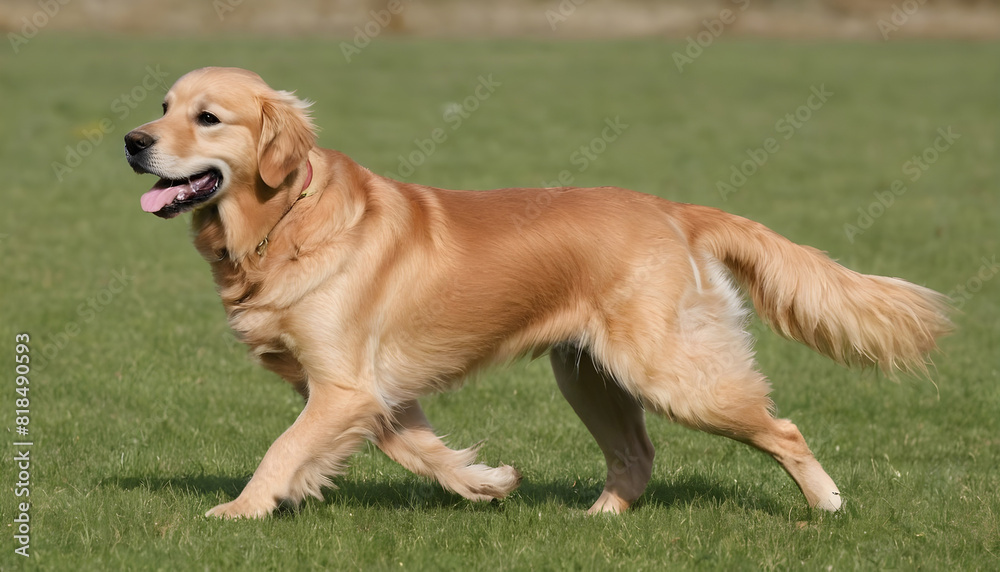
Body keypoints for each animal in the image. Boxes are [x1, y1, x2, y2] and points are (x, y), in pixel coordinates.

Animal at [125, 67, 952, 520]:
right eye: (162, 105)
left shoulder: (345, 385)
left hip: (671, 373)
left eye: (208, 117)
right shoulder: (367, 392)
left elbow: (281, 450)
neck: (282, 222)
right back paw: (598, 520)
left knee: (784, 430)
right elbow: (420, 452)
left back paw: (827, 505)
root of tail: (675, 209)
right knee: (636, 457)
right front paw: (489, 483)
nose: (133, 141)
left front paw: (240, 509)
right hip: (588, 374)